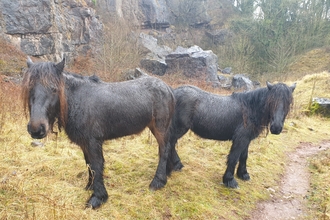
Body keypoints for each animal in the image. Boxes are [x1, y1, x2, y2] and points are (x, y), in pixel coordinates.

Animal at [21, 57, 175, 209]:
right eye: (29, 88)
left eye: (54, 89)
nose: (36, 129)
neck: (80, 101)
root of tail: (167, 88)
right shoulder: (85, 144)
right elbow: (89, 164)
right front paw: (90, 186)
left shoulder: (93, 142)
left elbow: (96, 165)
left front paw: (98, 198)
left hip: (160, 128)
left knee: (164, 150)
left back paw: (158, 182)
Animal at [166, 81, 296, 188]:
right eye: (271, 101)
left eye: (288, 103)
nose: (276, 128)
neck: (249, 109)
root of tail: (173, 92)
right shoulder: (240, 139)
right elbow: (234, 157)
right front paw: (229, 180)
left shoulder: (246, 139)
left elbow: (244, 156)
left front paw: (243, 174)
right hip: (180, 128)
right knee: (170, 143)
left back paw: (177, 165)